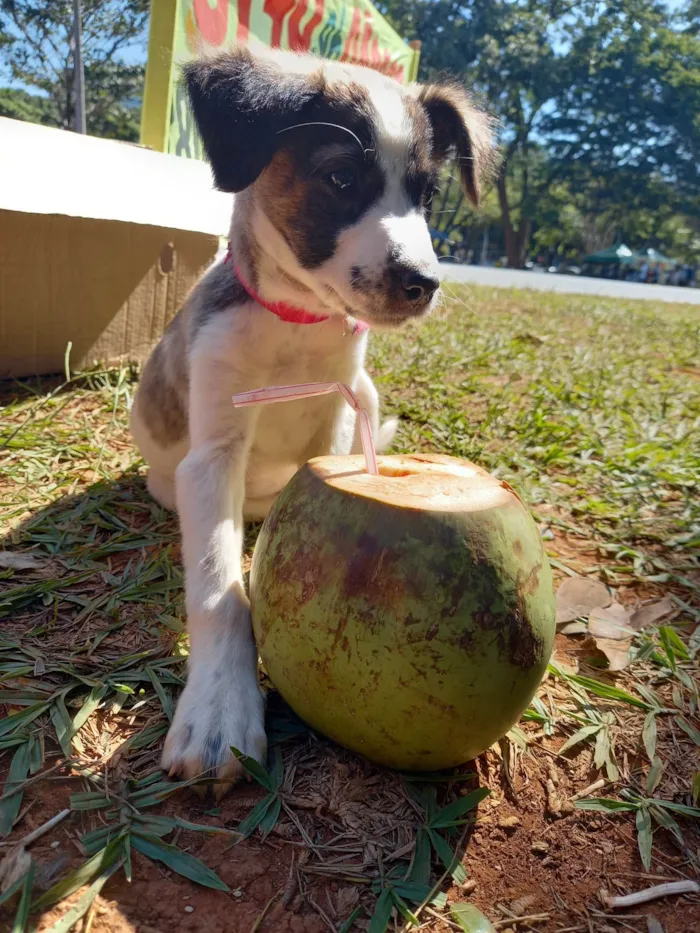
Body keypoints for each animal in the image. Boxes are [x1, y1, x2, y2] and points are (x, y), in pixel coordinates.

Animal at [130, 43, 492, 792]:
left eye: (428, 197)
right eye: (341, 177)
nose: (423, 283)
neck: (295, 327)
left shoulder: (340, 413)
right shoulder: (212, 454)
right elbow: (218, 587)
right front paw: (219, 707)